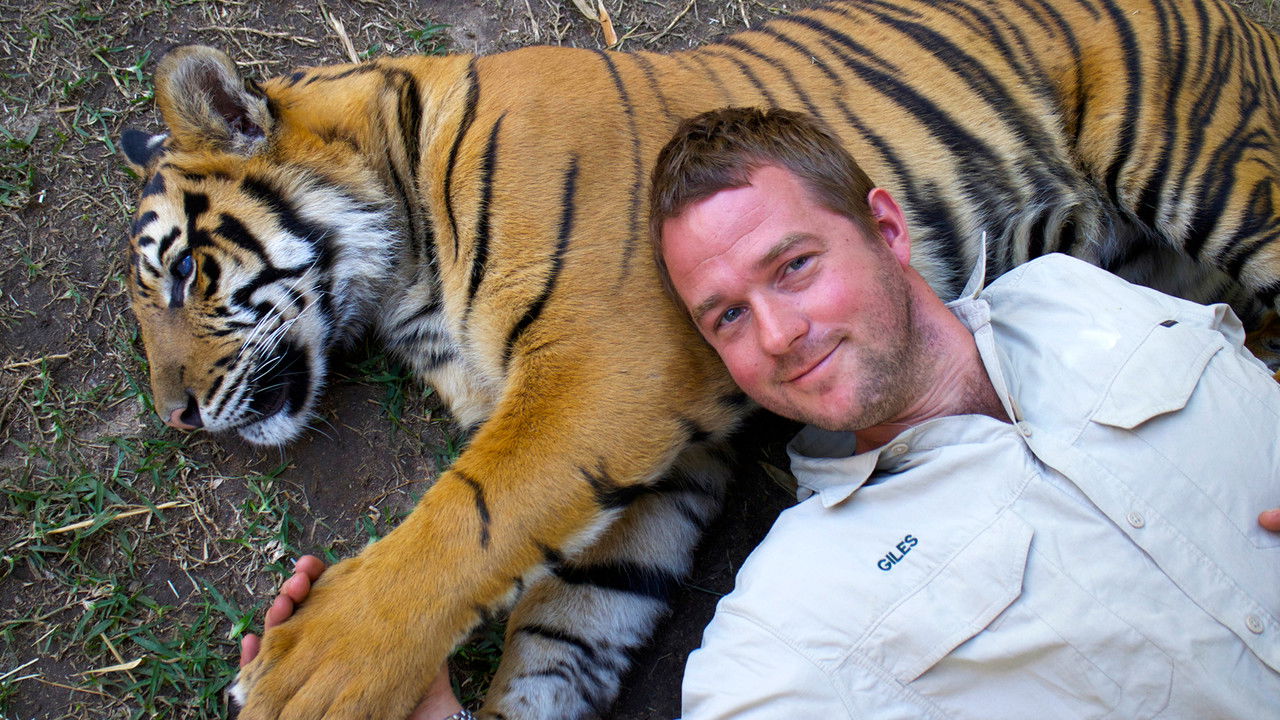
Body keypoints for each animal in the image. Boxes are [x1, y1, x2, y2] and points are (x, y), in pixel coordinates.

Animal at [118, 0, 1280, 717]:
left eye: (180, 277)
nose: (174, 415)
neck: (405, 272)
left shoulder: (602, 370)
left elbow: (464, 522)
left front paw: (311, 670)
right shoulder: (664, 464)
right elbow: (568, 617)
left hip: (1209, 168)